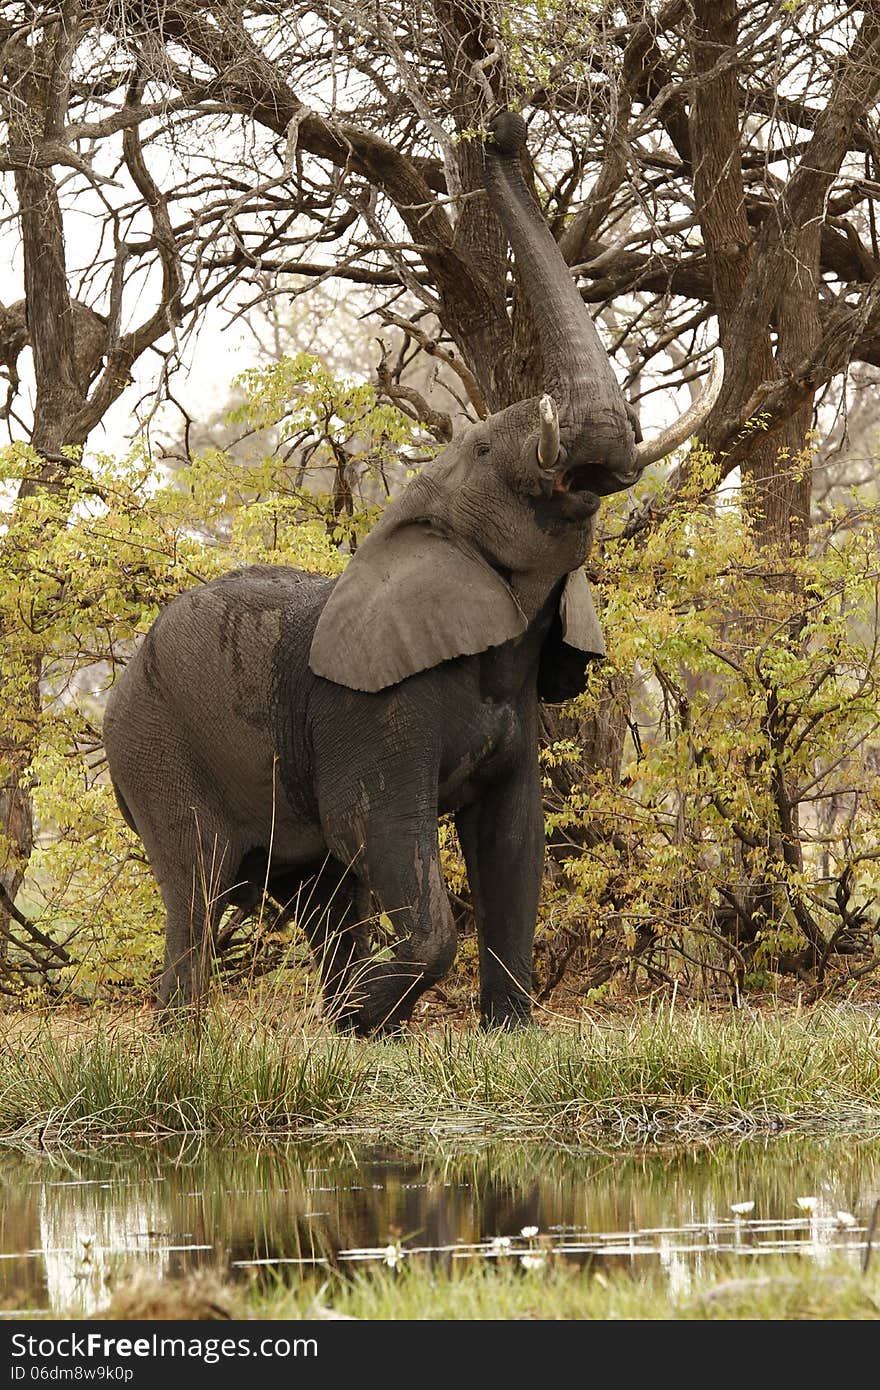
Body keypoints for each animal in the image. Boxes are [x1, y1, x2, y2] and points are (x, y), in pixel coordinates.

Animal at [102, 113, 722, 1034]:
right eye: (488, 448)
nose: (503, 125)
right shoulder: (368, 709)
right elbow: (382, 829)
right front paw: (362, 1024)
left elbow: (513, 843)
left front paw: (491, 1035)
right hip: (153, 745)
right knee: (198, 889)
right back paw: (192, 1039)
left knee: (318, 893)